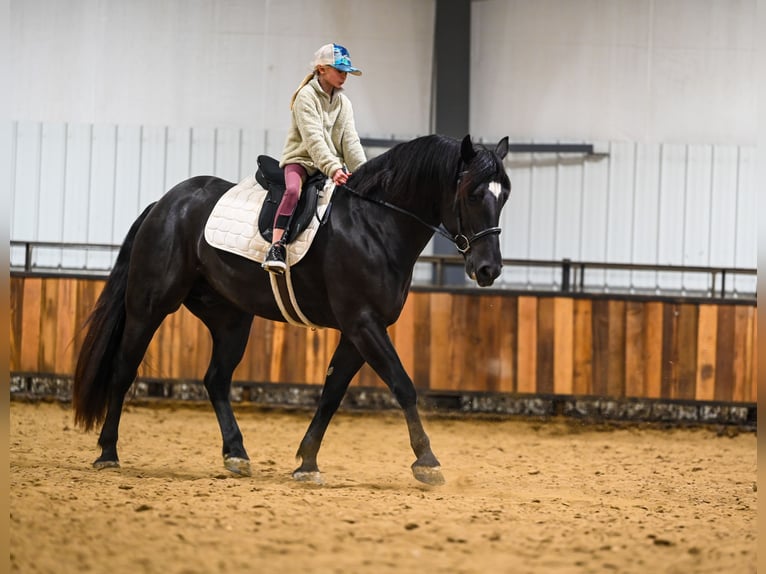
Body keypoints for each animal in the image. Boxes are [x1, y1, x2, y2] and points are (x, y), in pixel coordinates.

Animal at [73, 134, 511, 485]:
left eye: (503, 195)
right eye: (473, 194)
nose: (488, 269)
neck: (376, 223)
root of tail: (165, 204)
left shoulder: (358, 330)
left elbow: (332, 393)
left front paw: (307, 462)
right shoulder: (364, 324)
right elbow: (403, 385)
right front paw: (427, 460)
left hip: (231, 318)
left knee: (216, 379)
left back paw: (236, 454)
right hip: (149, 307)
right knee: (123, 370)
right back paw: (108, 453)